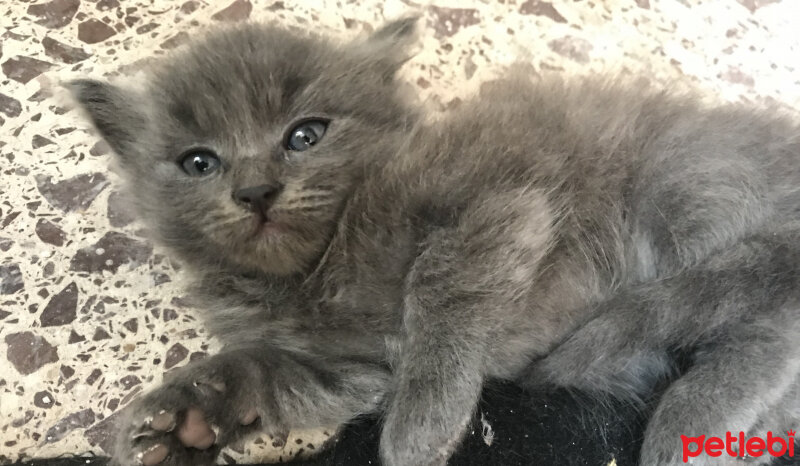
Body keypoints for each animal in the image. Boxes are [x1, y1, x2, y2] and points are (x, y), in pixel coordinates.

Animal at [69, 16, 800, 466]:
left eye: (305, 134)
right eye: (199, 163)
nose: (255, 191)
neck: (319, 271)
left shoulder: (504, 204)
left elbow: (436, 289)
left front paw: (423, 425)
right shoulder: (348, 369)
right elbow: (276, 376)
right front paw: (188, 416)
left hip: (685, 186)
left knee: (770, 308)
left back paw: (691, 420)